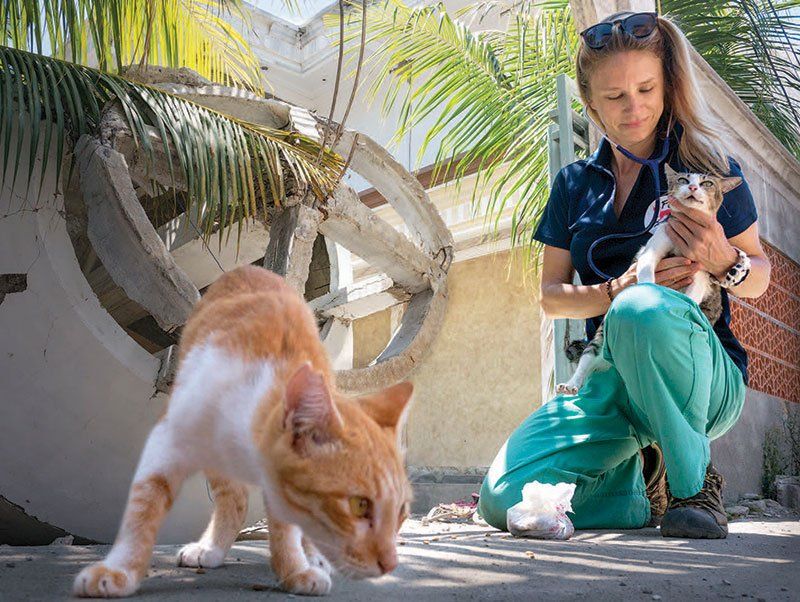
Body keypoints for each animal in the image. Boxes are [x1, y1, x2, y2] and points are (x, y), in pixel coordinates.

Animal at [73, 266, 412, 596]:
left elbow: (286, 525)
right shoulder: (167, 441)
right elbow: (143, 507)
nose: (391, 563)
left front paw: (296, 569)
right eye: (359, 506)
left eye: (402, 510)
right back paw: (212, 548)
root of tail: (251, 268)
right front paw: (119, 570)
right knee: (233, 500)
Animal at [560, 164, 740, 396]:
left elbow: (692, 295)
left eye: (707, 183)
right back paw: (571, 384)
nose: (692, 187)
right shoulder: (651, 250)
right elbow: (646, 270)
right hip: (599, 340)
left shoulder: (702, 271)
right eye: (683, 179)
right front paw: (650, 291)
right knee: (587, 359)